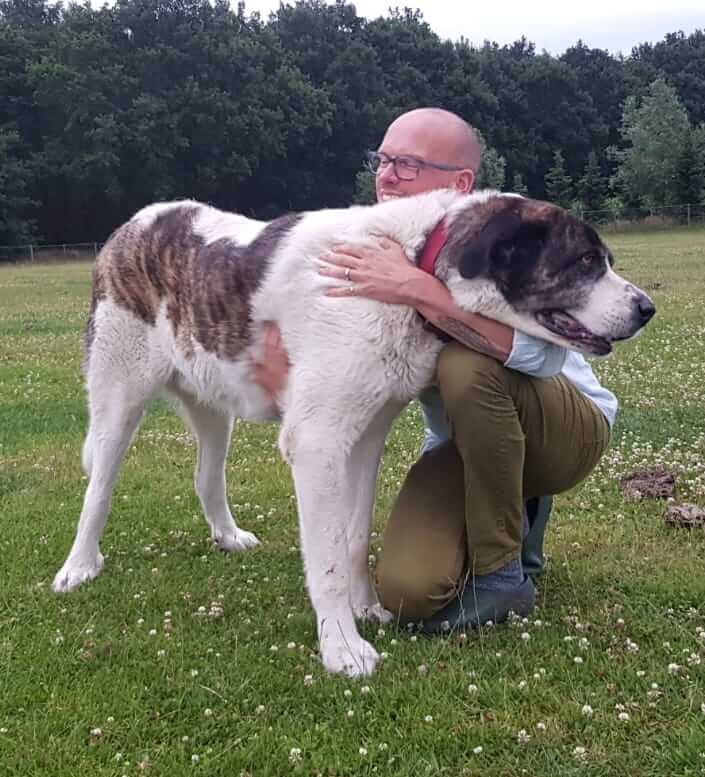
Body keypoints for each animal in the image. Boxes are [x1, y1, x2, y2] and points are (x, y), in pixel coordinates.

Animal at [52, 189, 655, 676]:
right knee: (98, 488)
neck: (415, 266)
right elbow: (325, 560)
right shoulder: (318, 442)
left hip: (212, 400)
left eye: (605, 261)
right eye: (584, 262)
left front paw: (365, 608)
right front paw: (342, 647)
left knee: (206, 475)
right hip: (118, 396)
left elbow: (354, 535)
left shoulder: (367, 436)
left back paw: (227, 535)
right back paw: (78, 566)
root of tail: (134, 224)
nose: (647, 308)